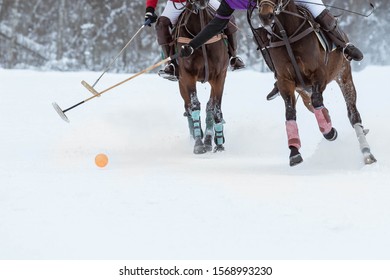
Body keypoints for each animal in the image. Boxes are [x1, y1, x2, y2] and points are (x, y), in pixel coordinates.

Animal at [173, 0, 229, 153]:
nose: (201, 1)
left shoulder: (219, 76)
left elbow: (216, 109)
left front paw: (219, 143)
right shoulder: (187, 75)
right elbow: (194, 106)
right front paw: (198, 143)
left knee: (210, 106)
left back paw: (210, 140)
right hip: (181, 82)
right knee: (187, 108)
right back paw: (197, 135)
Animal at [254, 0, 376, 166]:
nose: (265, 16)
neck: (287, 33)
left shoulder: (319, 74)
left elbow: (318, 100)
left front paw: (330, 132)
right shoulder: (285, 81)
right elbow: (290, 112)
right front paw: (294, 152)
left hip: (344, 75)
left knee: (353, 114)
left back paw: (367, 152)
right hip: (304, 92)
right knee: (319, 107)